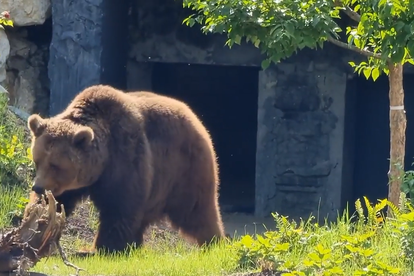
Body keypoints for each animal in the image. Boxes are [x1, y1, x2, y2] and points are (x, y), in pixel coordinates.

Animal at [26, 84, 226, 254]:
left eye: (55, 165)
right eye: (37, 161)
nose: (38, 187)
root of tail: (195, 119)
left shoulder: (125, 157)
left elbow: (120, 206)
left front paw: (102, 249)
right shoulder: (72, 184)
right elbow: (59, 201)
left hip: (184, 170)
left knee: (197, 211)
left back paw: (214, 243)